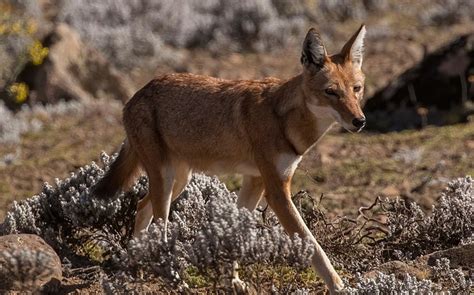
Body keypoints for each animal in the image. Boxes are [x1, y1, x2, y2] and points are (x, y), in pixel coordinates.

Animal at [92, 25, 366, 294]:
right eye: (331, 92)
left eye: (357, 89)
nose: (360, 121)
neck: (285, 120)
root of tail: (137, 94)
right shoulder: (277, 191)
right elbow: (313, 245)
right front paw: (339, 286)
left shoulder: (255, 181)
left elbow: (235, 233)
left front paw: (233, 282)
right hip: (167, 181)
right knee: (159, 227)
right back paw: (174, 279)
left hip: (178, 181)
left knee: (141, 207)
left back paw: (137, 266)